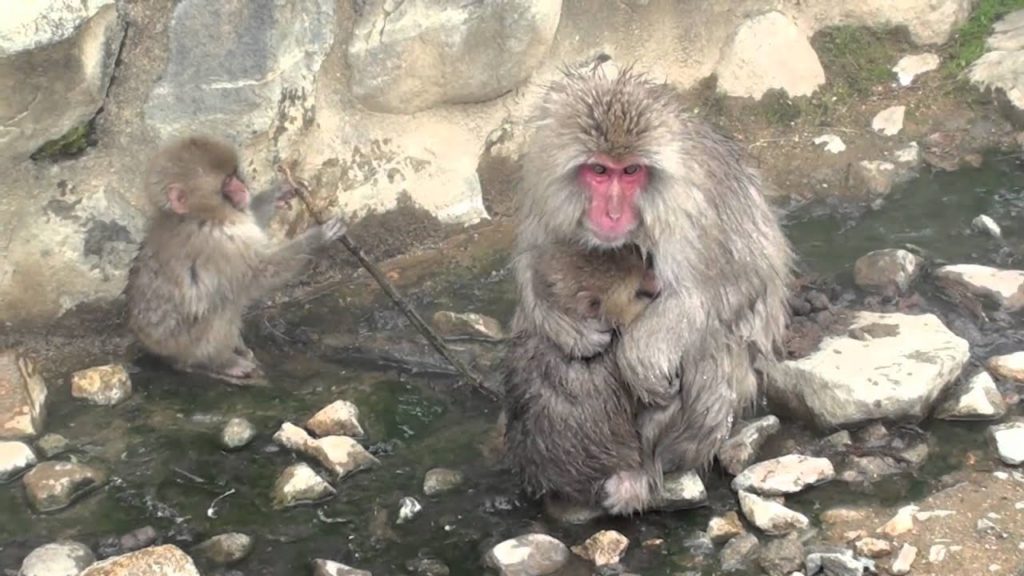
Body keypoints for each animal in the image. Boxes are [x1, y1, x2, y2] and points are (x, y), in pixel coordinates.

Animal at [124, 135, 345, 384]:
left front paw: (277, 193)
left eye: (235, 175)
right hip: (186, 344)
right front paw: (318, 238)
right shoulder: (220, 245)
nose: (243, 188)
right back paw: (219, 361)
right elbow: (261, 272)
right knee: (223, 300)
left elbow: (251, 219)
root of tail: (154, 348)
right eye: (227, 182)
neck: (202, 216)